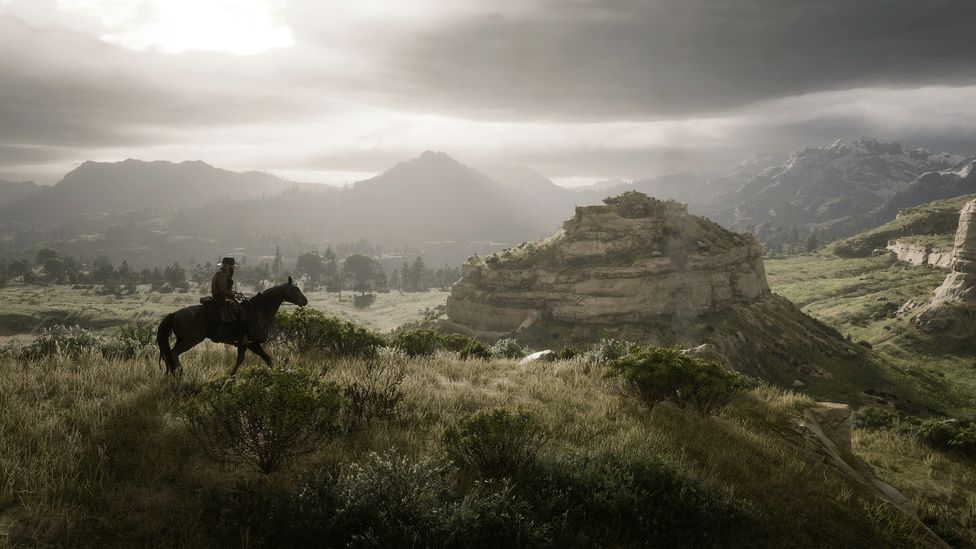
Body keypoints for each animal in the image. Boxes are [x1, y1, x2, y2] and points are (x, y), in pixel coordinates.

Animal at [154, 276, 306, 374]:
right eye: (295, 290)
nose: (305, 301)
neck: (260, 310)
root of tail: (175, 314)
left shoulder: (252, 344)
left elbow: (267, 359)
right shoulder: (248, 343)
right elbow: (242, 360)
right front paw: (230, 376)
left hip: (181, 339)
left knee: (171, 354)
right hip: (191, 339)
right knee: (174, 353)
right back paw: (180, 374)